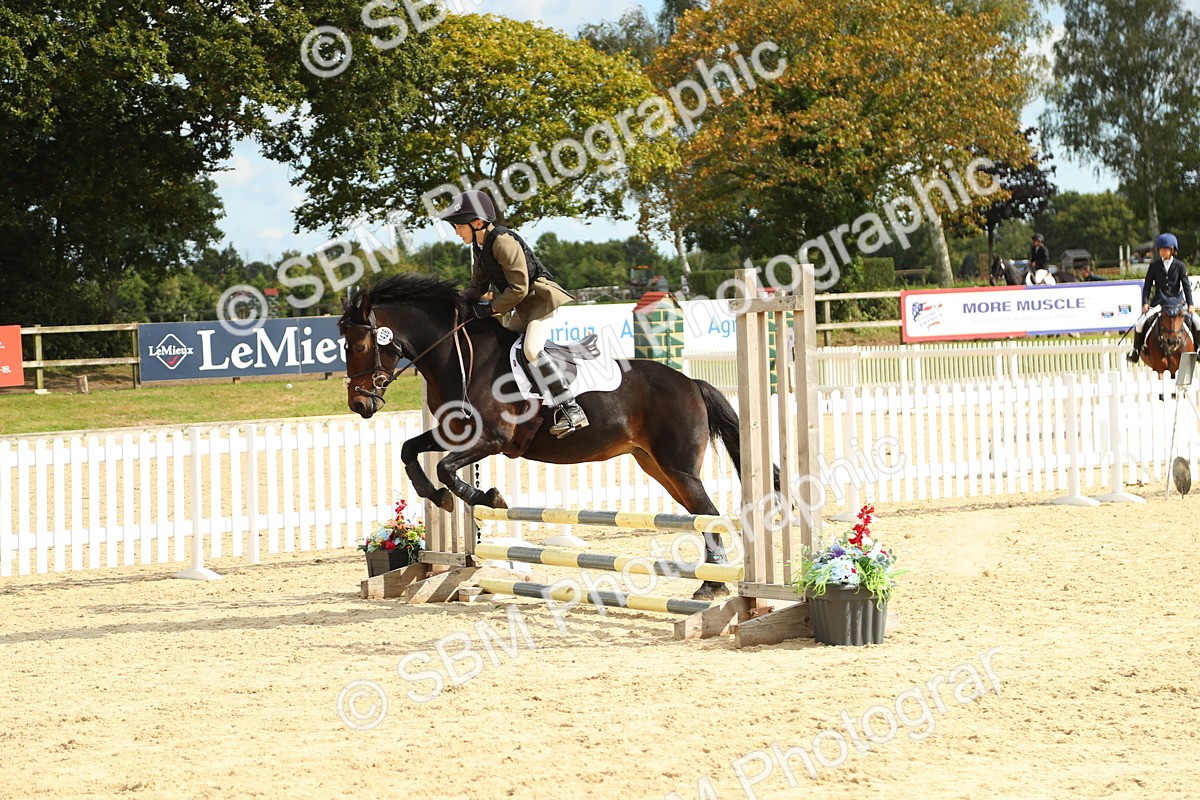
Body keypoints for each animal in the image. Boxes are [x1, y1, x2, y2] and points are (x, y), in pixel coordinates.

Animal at [338, 273, 756, 600]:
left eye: (359, 345)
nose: (359, 404)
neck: (460, 357)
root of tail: (691, 383)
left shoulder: (493, 439)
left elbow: (444, 469)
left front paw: (486, 496)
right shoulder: (454, 433)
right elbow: (411, 451)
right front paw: (439, 498)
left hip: (678, 467)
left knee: (708, 513)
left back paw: (712, 586)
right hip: (657, 467)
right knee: (697, 514)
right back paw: (712, 580)